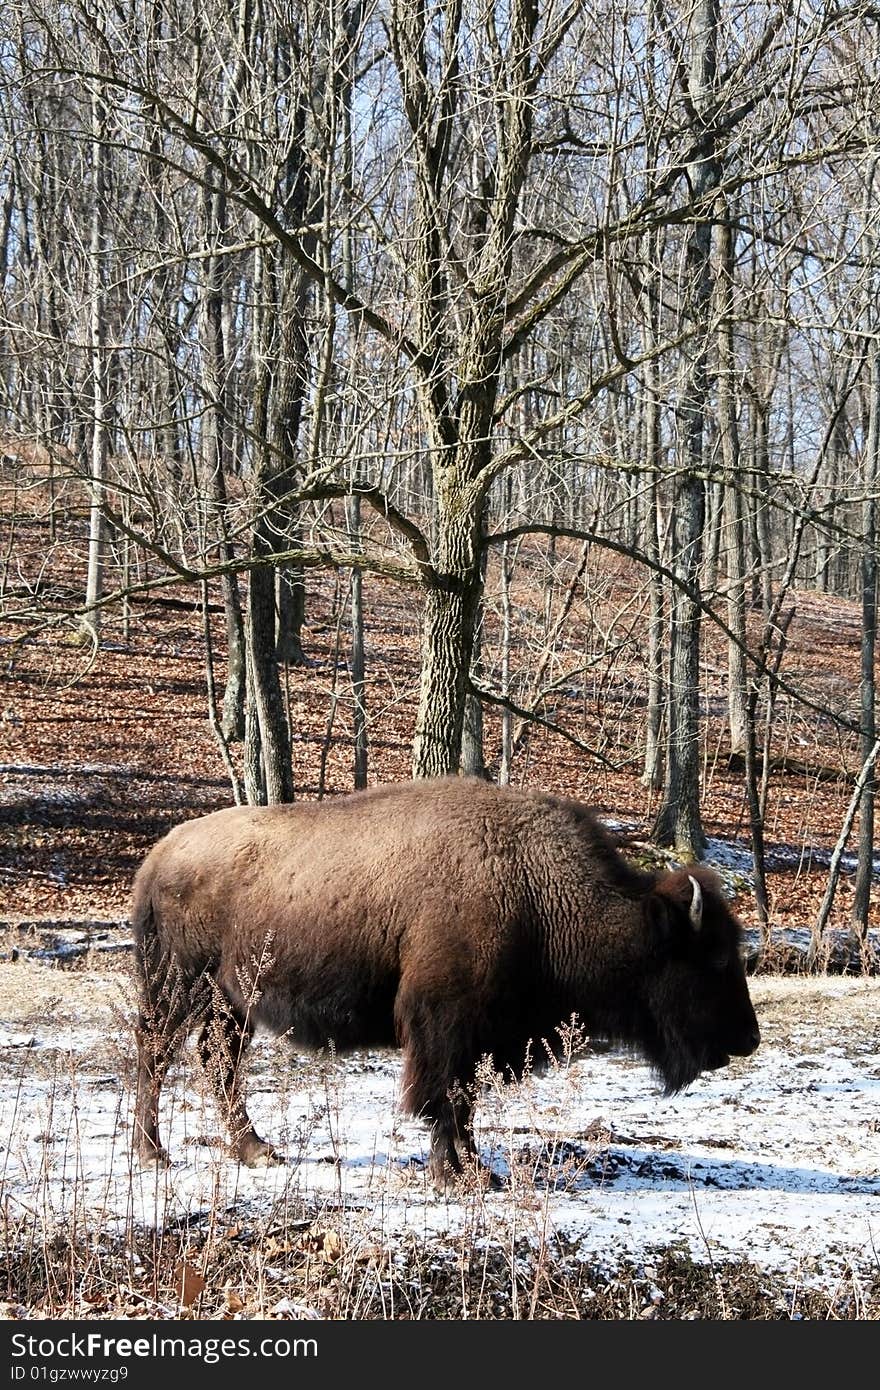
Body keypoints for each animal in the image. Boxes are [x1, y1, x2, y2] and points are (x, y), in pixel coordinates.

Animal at [128, 778, 756, 1189]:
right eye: (715, 959)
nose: (748, 1038)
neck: (540, 892)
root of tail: (158, 856)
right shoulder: (443, 1025)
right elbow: (443, 1100)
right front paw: (452, 1176)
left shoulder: (481, 1035)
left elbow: (466, 1104)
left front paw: (476, 1169)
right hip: (179, 985)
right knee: (156, 1054)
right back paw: (154, 1153)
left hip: (231, 1001)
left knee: (218, 1062)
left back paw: (255, 1151)